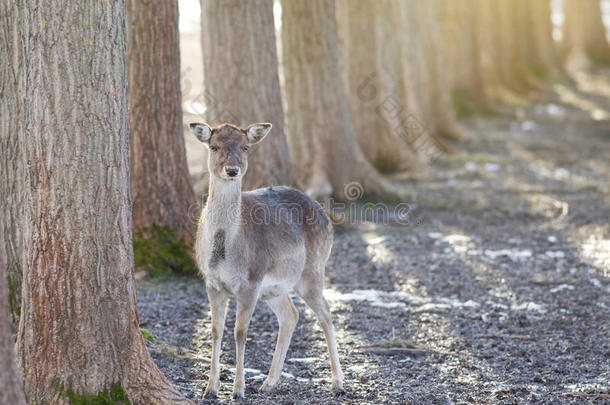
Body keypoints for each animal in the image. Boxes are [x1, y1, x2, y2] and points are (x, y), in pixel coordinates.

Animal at [190, 120, 342, 398]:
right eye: (213, 146)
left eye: (245, 147)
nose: (232, 170)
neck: (225, 252)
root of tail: (326, 216)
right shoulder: (211, 282)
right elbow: (216, 331)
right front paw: (210, 389)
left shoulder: (250, 280)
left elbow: (240, 332)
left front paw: (238, 390)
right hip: (274, 289)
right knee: (291, 315)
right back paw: (269, 382)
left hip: (312, 270)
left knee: (325, 313)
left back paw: (338, 382)